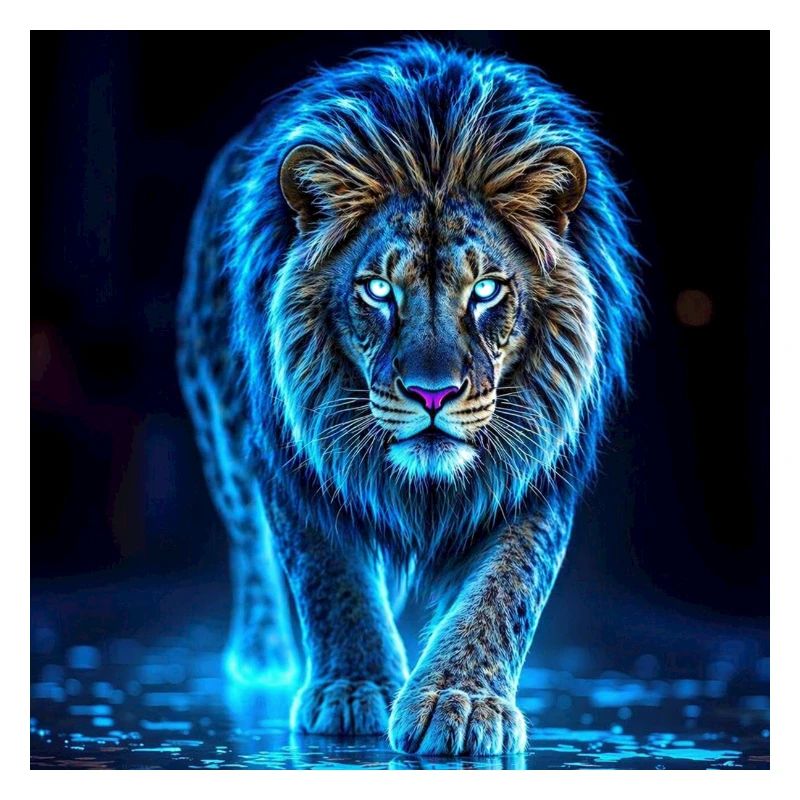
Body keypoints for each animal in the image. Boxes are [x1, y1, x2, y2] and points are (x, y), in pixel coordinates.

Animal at [176, 41, 641, 756]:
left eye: (485, 289)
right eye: (377, 289)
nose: (432, 393)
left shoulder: (538, 467)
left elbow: (507, 590)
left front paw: (463, 703)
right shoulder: (296, 457)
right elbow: (329, 579)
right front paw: (353, 690)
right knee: (249, 543)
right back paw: (262, 659)